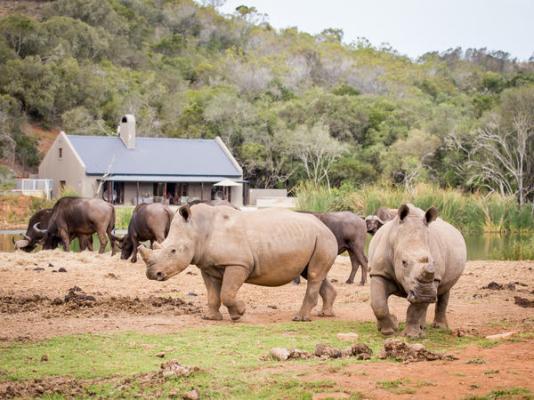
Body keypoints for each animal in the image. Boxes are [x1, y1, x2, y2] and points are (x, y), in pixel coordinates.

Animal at [139, 205, 340, 320]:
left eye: (173, 251)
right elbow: (213, 294)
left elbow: (227, 293)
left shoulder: (238, 263)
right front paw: (210, 318)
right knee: (314, 274)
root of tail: (325, 226)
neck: (198, 228)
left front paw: (239, 313)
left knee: (313, 275)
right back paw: (326, 314)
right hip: (314, 237)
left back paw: (300, 318)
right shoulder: (208, 266)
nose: (152, 274)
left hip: (323, 238)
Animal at [370, 203, 466, 338]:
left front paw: (412, 335)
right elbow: (379, 304)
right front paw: (389, 331)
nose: (426, 294)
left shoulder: (432, 280)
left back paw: (438, 328)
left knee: (444, 290)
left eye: (434, 263)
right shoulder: (379, 272)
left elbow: (416, 308)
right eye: (404, 262)